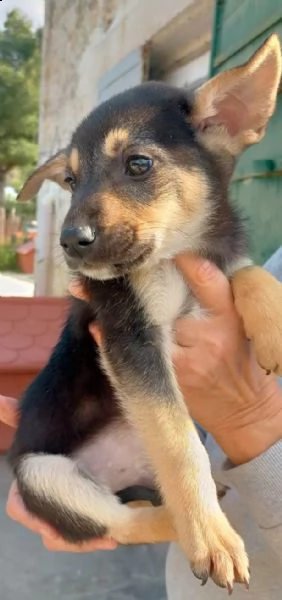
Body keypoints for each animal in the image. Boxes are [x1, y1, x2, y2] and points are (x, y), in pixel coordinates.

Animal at [8, 35, 282, 592]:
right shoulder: (129, 334)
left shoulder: (216, 265)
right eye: (71, 179)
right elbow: (178, 443)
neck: (176, 256)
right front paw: (210, 538)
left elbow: (249, 273)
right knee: (122, 522)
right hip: (42, 474)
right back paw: (189, 523)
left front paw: (275, 327)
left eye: (138, 164)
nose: (69, 241)